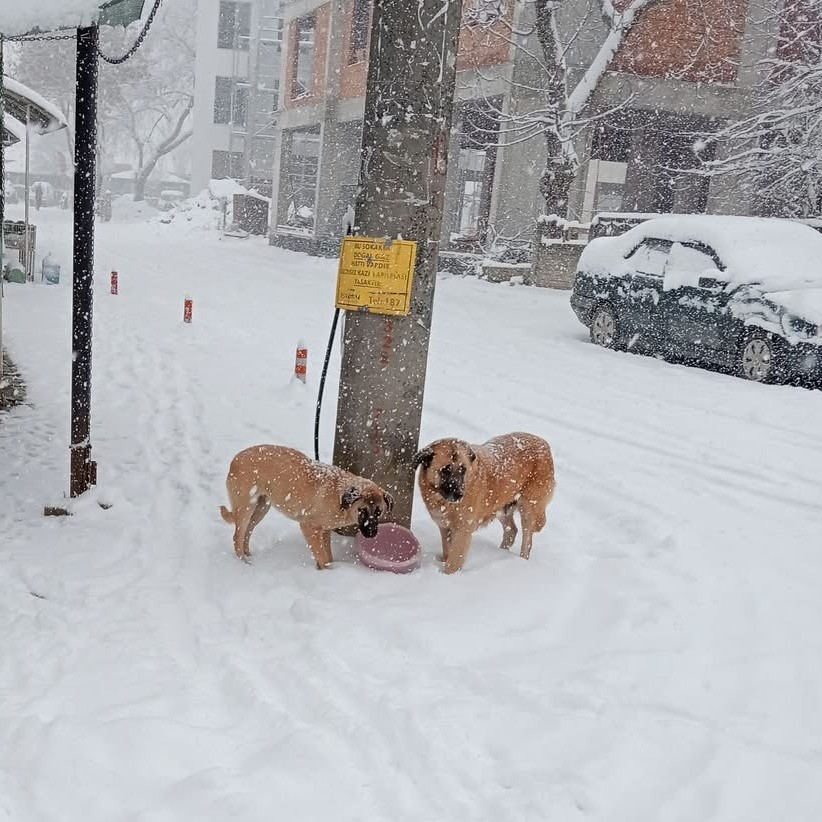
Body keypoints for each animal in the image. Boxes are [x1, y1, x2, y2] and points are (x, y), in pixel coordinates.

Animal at [220, 448, 394, 568]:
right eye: (362, 511)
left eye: (379, 512)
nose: (372, 534)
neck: (340, 497)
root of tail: (234, 460)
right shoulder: (308, 526)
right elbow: (322, 556)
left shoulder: (324, 530)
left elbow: (327, 555)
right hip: (246, 508)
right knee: (237, 536)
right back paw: (244, 561)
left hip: (260, 509)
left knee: (246, 534)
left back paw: (249, 556)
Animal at [416, 434, 556, 576]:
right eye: (445, 470)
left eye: (463, 470)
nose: (459, 495)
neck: (443, 502)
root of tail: (544, 444)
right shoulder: (444, 528)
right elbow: (447, 552)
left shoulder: (463, 531)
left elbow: (453, 562)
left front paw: (448, 576)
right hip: (501, 507)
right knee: (511, 531)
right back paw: (501, 552)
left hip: (528, 508)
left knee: (527, 541)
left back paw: (521, 561)